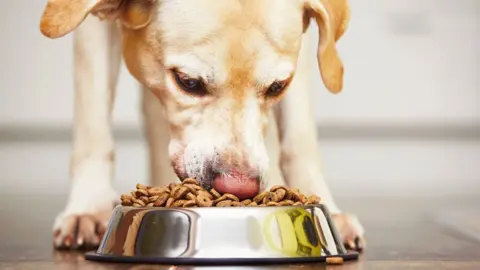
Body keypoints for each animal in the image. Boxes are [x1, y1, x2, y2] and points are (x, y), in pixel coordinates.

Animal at [40, 0, 364, 251]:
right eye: (188, 82)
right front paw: (89, 207)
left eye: (277, 87)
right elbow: (93, 123)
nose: (239, 187)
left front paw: (325, 207)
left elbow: (300, 137)